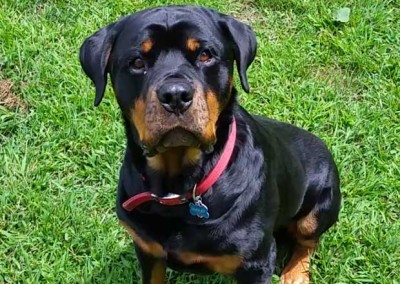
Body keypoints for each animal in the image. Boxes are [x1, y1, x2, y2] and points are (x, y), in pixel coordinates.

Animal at [79, 5, 340, 284]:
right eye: (137, 62)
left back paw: (295, 274)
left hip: (321, 205)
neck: (179, 185)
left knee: (308, 241)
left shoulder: (256, 262)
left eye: (205, 55)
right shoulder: (147, 249)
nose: (175, 95)